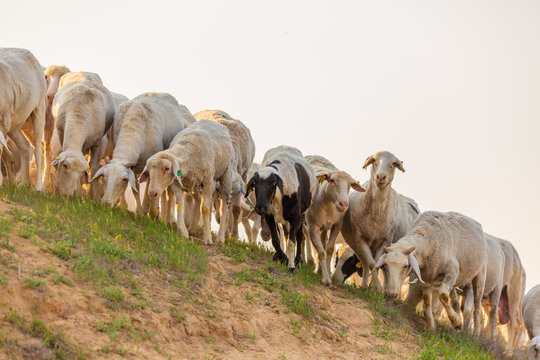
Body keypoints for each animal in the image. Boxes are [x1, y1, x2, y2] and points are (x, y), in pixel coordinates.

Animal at [0, 47, 46, 191]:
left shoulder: (3, 122)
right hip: (18, 121)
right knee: (24, 145)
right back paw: (24, 183)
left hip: (38, 108)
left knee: (38, 148)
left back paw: (38, 187)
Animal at [50, 71, 115, 200]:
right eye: (65, 165)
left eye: (80, 172)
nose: (68, 196)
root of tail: (85, 72)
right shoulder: (61, 133)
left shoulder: (97, 142)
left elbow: (93, 168)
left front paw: (92, 197)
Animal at [302, 154, 364, 284]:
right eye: (332, 180)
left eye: (350, 184)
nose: (344, 204)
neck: (329, 207)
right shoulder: (312, 226)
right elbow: (321, 253)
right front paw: (326, 279)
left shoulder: (337, 225)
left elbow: (329, 249)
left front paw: (326, 274)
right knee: (302, 237)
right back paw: (304, 261)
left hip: (325, 227)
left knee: (322, 240)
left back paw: (319, 269)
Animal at [342, 150, 414, 290]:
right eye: (373, 160)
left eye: (394, 164)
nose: (380, 177)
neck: (376, 214)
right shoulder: (359, 239)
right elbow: (371, 263)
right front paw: (374, 287)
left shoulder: (385, 241)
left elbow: (378, 263)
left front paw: (377, 288)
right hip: (357, 246)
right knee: (365, 263)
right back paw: (364, 285)